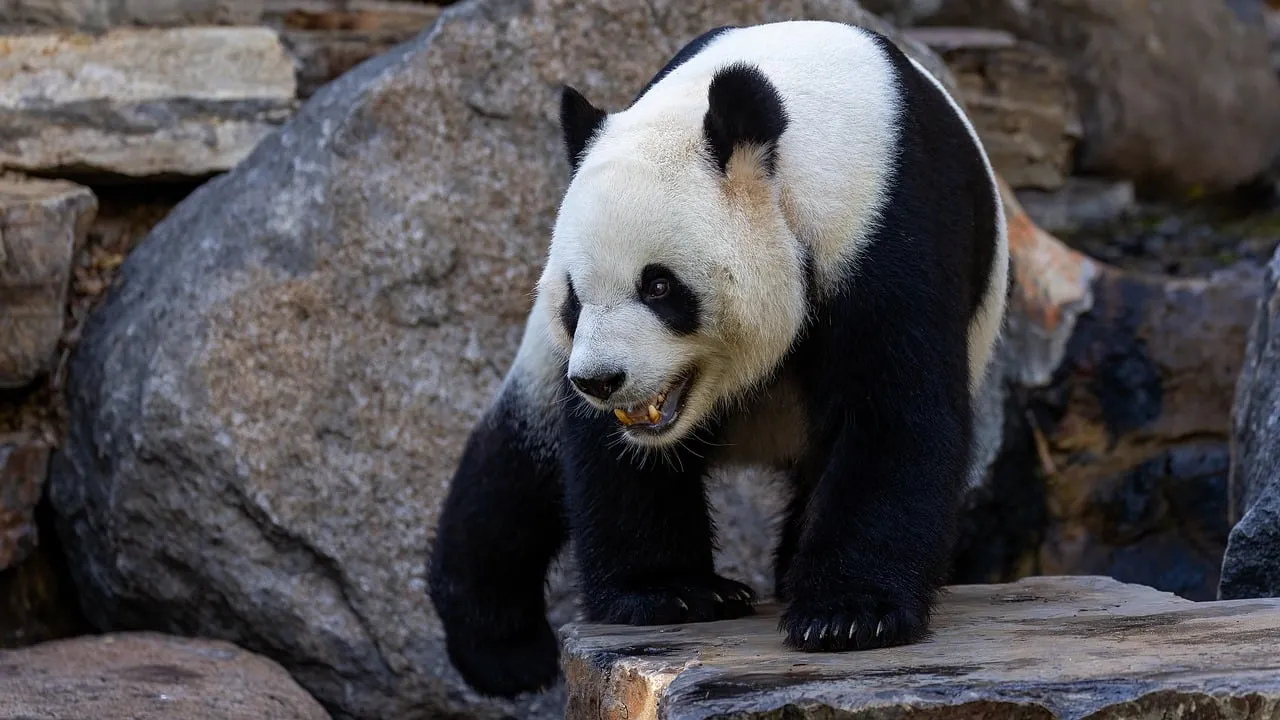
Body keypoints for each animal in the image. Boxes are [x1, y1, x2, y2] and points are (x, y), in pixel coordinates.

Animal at [427, 19, 1009, 699]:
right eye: (574, 295)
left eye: (658, 286)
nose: (601, 380)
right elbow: (612, 459)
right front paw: (669, 595)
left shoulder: (890, 228)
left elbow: (895, 415)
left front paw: (846, 615)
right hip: (544, 369)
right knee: (513, 469)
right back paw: (502, 649)